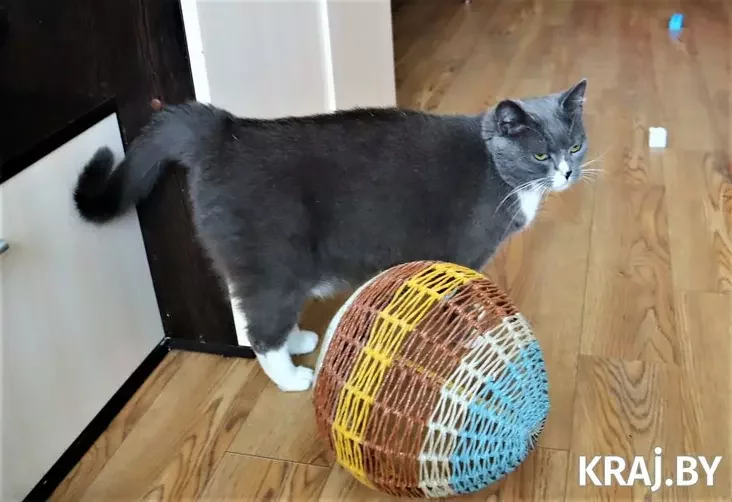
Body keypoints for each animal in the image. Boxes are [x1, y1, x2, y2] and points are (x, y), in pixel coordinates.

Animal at [73, 79, 589, 392]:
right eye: (540, 155)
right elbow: (461, 292)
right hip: (272, 260)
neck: (500, 173)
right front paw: (473, 332)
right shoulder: (464, 249)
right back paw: (292, 377)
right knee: (260, 328)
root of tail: (225, 131)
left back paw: (299, 340)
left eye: (576, 145)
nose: (567, 172)